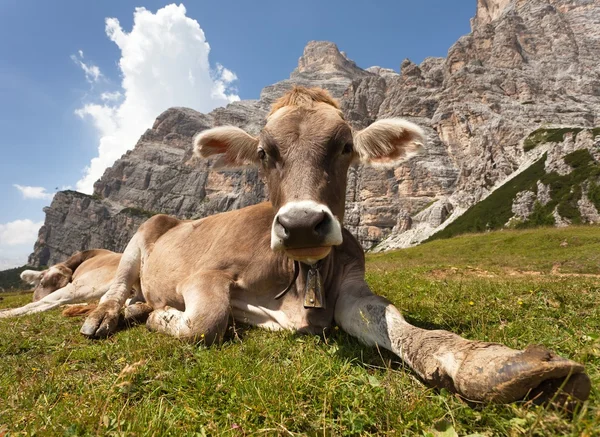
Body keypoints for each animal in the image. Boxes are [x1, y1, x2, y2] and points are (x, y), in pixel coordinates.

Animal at [78, 87, 592, 404]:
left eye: (345, 146)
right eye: (264, 153)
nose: (302, 224)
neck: (300, 273)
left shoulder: (351, 290)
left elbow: (396, 322)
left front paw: (487, 362)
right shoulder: (205, 275)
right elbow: (207, 321)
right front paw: (159, 316)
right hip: (139, 237)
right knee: (119, 288)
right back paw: (116, 313)